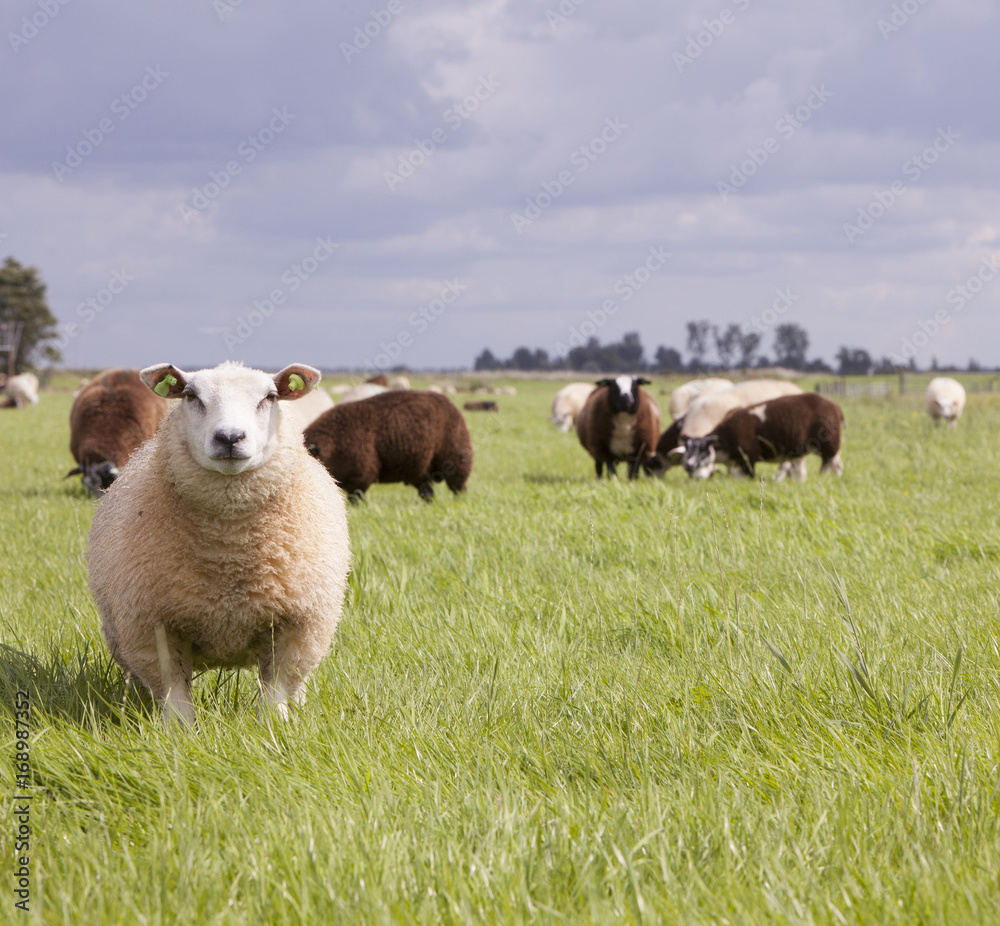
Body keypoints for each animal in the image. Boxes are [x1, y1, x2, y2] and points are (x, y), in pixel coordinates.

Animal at [87, 360, 351, 726]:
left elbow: (277, 688)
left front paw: (275, 728)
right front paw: (179, 733)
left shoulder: (298, 623)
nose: (229, 437)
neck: (229, 552)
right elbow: (174, 691)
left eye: (270, 397)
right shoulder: (153, 626)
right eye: (191, 396)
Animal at [304, 390, 473, 502]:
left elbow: (357, 499)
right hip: (422, 469)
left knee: (458, 488)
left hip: (456, 460)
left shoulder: (360, 475)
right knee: (427, 491)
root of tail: (447, 402)